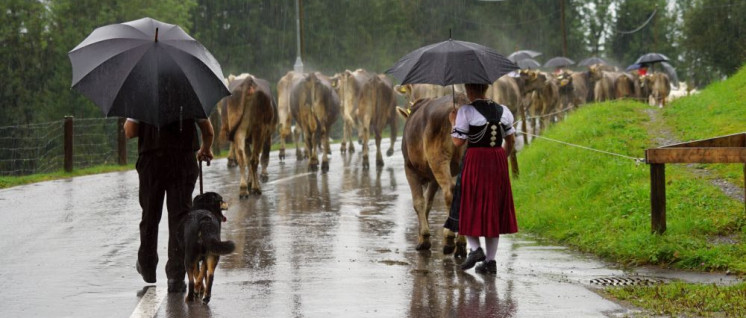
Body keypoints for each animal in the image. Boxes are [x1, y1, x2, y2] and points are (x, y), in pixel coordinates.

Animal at [396, 93, 464, 258]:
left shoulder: (409, 168)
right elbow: (428, 202)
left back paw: (450, 238)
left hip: (438, 157)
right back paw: (461, 244)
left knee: (450, 191)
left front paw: (424, 238)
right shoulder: (432, 177)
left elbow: (419, 202)